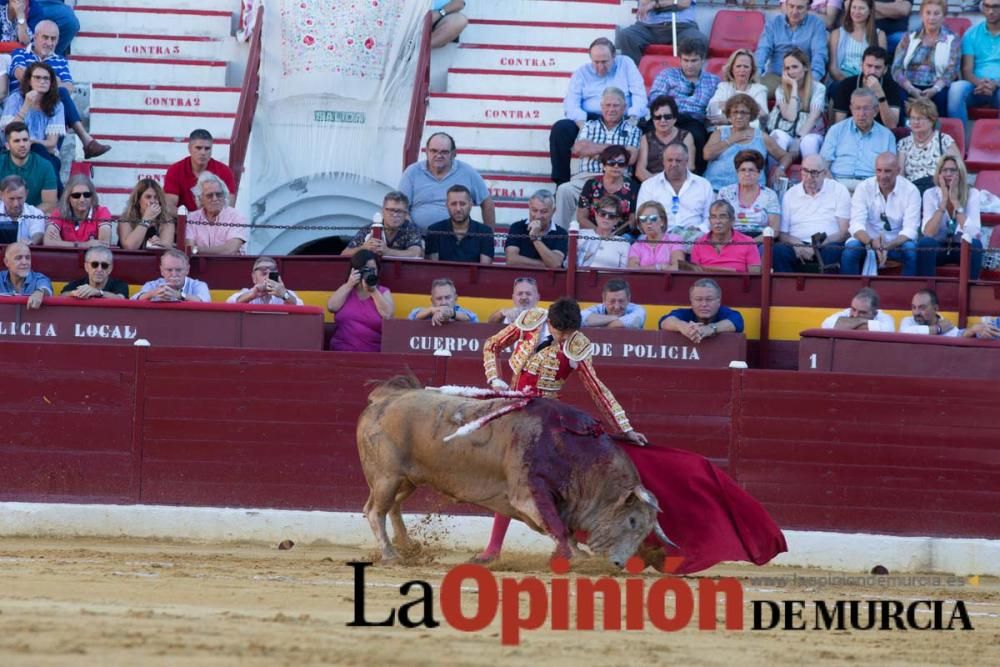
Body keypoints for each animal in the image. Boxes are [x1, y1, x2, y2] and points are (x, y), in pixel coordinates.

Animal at [356, 378, 668, 568]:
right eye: (632, 521)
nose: (619, 564)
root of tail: (386, 396)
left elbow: (562, 527)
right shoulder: (528, 493)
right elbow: (557, 526)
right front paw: (579, 558)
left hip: (408, 478)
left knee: (392, 507)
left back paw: (409, 547)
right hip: (387, 476)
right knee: (374, 510)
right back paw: (391, 554)